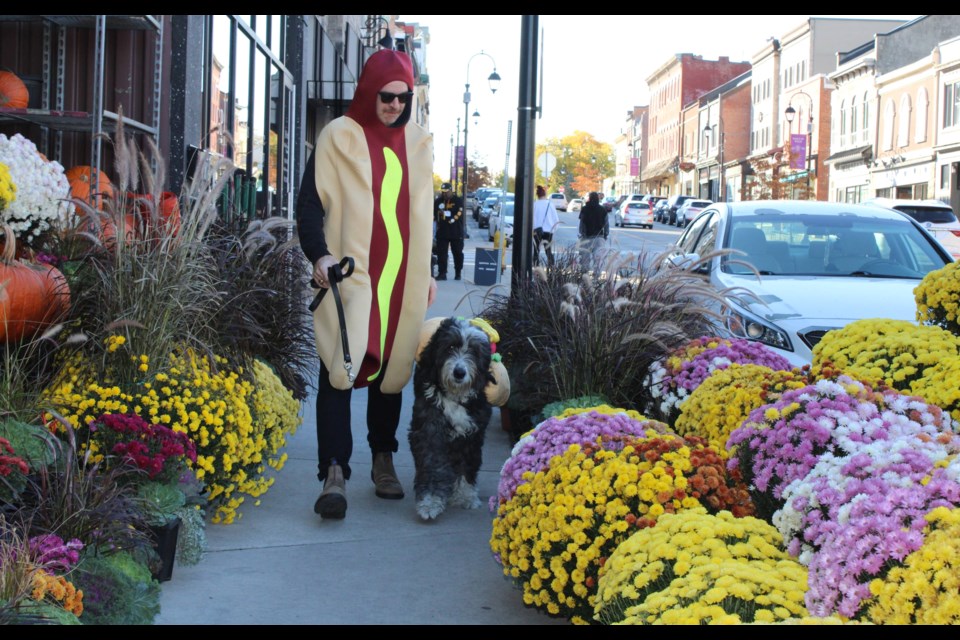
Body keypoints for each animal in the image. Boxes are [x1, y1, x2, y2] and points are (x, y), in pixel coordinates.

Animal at [406, 316, 496, 520]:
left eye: (473, 351)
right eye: (450, 347)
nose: (459, 372)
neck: (454, 397)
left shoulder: (472, 435)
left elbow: (467, 465)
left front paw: (465, 496)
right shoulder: (429, 431)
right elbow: (433, 464)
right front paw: (430, 502)